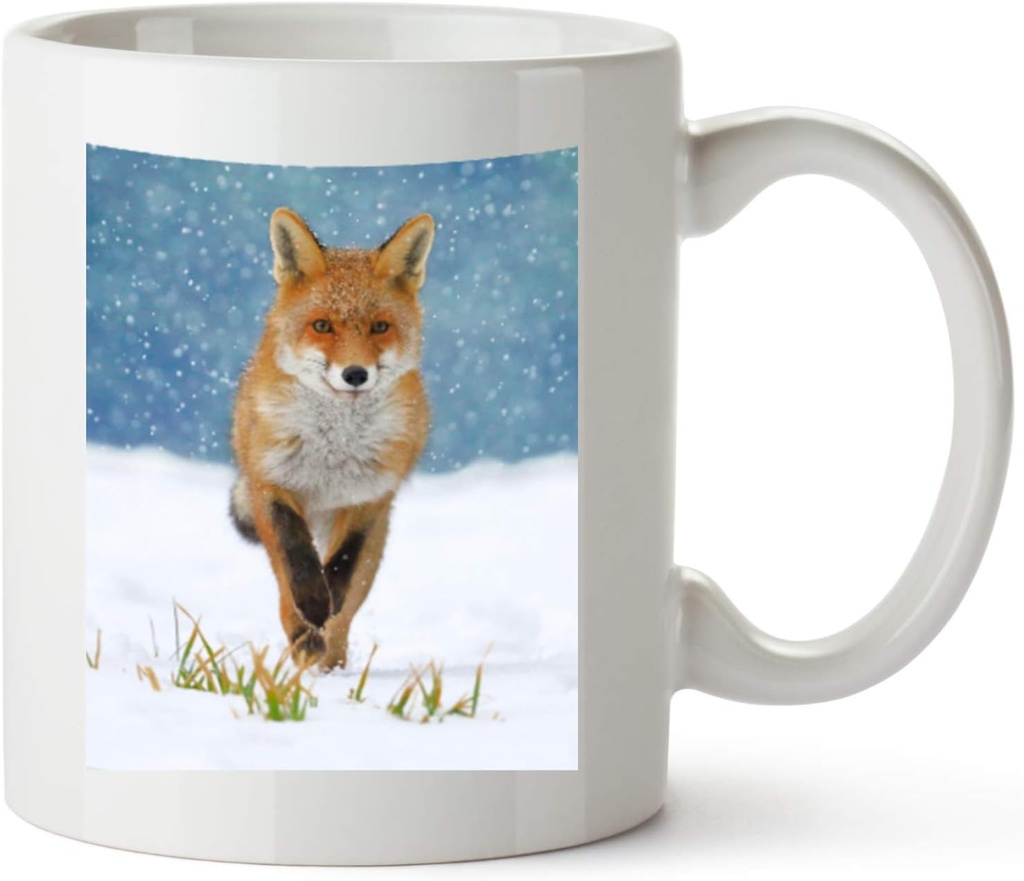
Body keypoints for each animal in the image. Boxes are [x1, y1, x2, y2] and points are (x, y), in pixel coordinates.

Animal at [229, 206, 434, 671]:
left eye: (380, 327)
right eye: (322, 325)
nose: (355, 374)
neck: (332, 452)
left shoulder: (369, 497)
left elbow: (342, 566)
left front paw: (328, 606)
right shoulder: (272, 484)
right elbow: (298, 562)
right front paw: (311, 606)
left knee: (347, 610)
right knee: (285, 590)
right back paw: (305, 640)